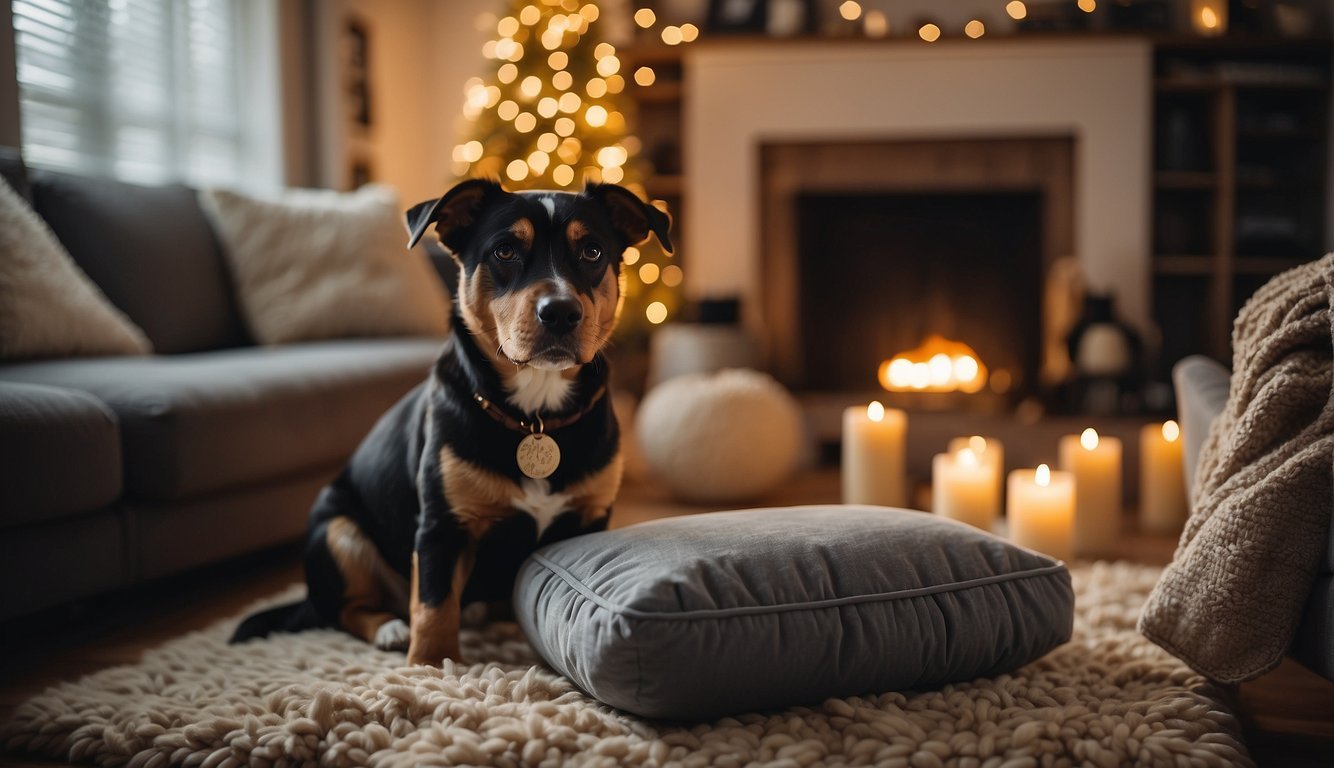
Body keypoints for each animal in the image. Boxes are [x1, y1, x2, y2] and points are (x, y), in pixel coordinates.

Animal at [230, 177, 672, 664]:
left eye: (592, 251)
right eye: (504, 250)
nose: (560, 311)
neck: (534, 418)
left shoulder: (587, 519)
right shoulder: (442, 527)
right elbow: (434, 606)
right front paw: (431, 667)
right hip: (338, 531)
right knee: (346, 609)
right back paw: (389, 628)